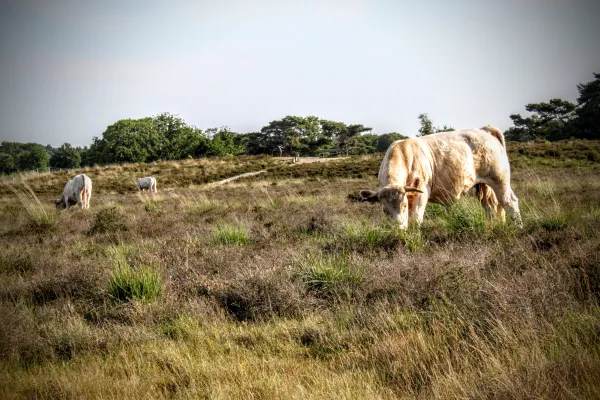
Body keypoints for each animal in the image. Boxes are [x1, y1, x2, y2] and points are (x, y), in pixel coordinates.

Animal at [358, 126, 524, 230]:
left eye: (404, 205)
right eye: (384, 210)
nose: (398, 229)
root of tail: (485, 129)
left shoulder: (421, 193)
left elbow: (415, 219)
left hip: (499, 180)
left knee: (509, 202)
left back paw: (519, 227)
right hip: (485, 186)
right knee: (491, 206)